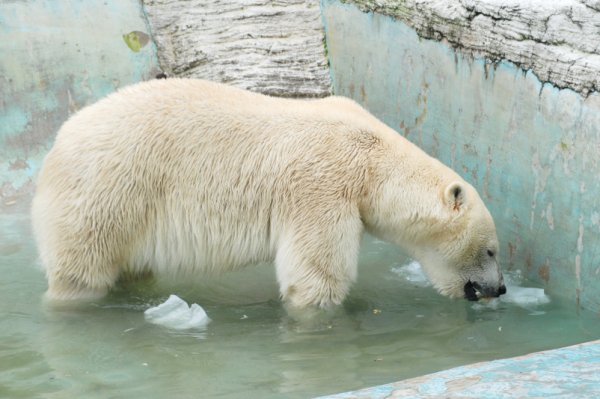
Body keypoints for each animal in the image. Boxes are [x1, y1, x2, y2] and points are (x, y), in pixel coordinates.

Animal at [31, 79, 506, 310]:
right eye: (492, 251)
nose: (499, 289)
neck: (372, 160)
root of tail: (56, 145)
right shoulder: (322, 186)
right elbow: (316, 274)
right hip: (106, 193)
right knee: (82, 272)